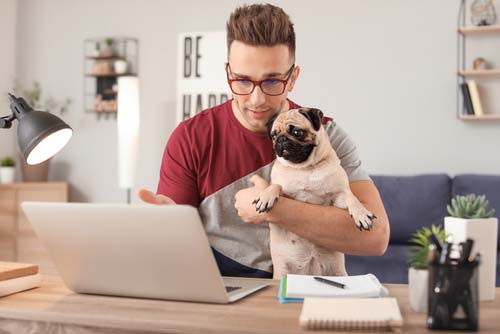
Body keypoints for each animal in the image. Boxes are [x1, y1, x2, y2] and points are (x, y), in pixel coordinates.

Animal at [254, 107, 376, 280]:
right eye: (274, 135)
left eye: (297, 132)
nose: (281, 139)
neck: (305, 168)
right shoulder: (287, 195)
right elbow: (276, 185)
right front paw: (266, 196)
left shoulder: (338, 196)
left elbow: (351, 198)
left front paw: (362, 214)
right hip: (282, 272)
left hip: (339, 272)